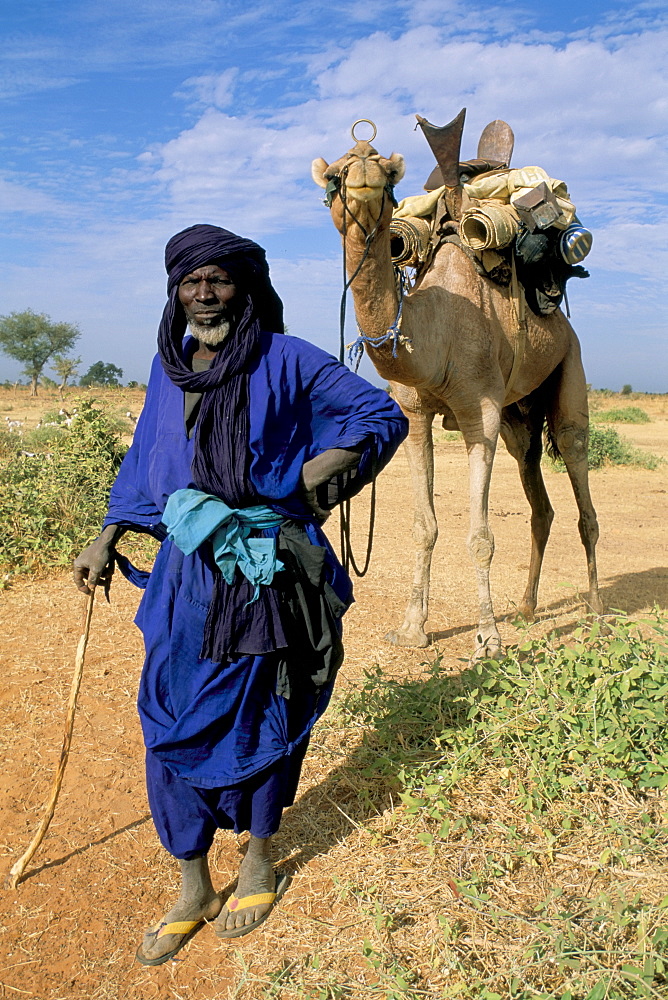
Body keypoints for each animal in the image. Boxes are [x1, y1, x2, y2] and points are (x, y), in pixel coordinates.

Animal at [314, 121, 604, 660]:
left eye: (387, 171)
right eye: (336, 173)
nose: (362, 166)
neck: (435, 332)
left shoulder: (479, 412)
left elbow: (480, 536)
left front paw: (488, 639)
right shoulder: (415, 415)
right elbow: (423, 527)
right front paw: (412, 628)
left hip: (569, 365)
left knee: (578, 471)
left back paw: (595, 615)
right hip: (517, 418)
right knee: (539, 499)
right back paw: (528, 608)